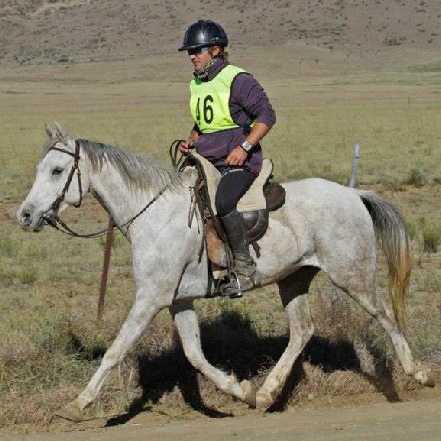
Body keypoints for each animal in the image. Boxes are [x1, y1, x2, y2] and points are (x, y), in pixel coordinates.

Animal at [16, 124, 434, 420]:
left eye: (57, 170)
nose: (25, 215)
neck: (152, 213)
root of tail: (353, 195)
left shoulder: (150, 298)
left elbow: (115, 351)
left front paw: (77, 405)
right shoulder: (178, 300)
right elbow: (195, 355)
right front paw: (242, 391)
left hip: (352, 275)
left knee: (386, 315)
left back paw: (419, 374)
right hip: (294, 279)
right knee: (302, 331)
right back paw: (267, 394)